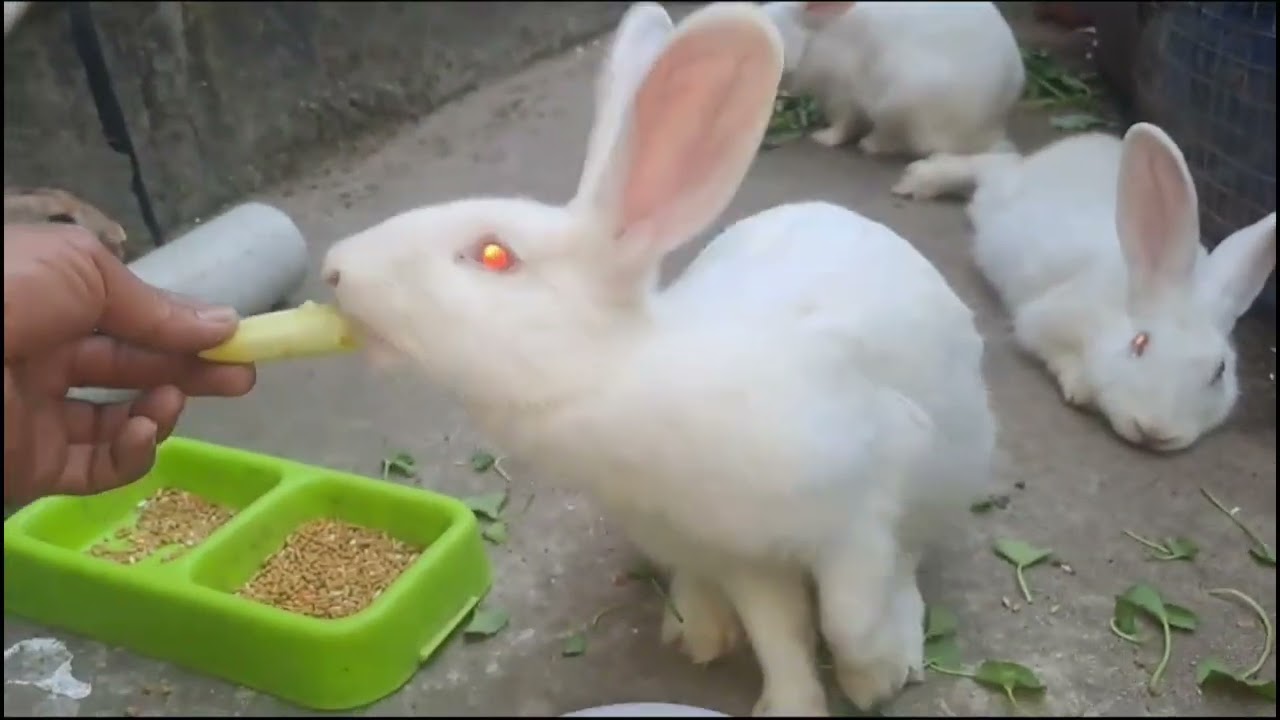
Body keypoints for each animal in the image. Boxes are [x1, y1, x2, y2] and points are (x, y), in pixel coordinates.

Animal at [322, 2, 996, 715]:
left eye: (493, 255)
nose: (335, 268)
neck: (624, 371)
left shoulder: (864, 512)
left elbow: (851, 617)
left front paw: (880, 676)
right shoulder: (742, 556)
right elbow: (778, 633)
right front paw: (790, 703)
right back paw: (697, 627)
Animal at [759, 2, 1024, 167]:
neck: (814, 38)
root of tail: (990, 131)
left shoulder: (841, 93)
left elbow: (843, 123)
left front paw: (823, 138)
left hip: (900, 103)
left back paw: (869, 144)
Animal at [893, 122, 1277, 452]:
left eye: (1220, 372)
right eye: (1139, 344)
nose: (1155, 430)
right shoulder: (1044, 319)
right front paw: (1080, 387)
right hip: (999, 192)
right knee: (995, 165)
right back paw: (921, 179)